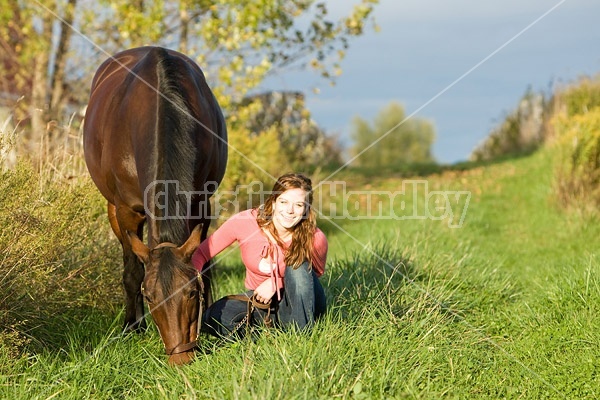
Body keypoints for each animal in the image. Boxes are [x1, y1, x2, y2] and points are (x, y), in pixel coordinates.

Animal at [82, 47, 227, 366]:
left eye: (191, 292)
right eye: (150, 297)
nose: (181, 360)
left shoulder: (201, 203)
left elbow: (205, 265)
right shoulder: (127, 210)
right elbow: (133, 272)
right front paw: (132, 327)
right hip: (113, 209)